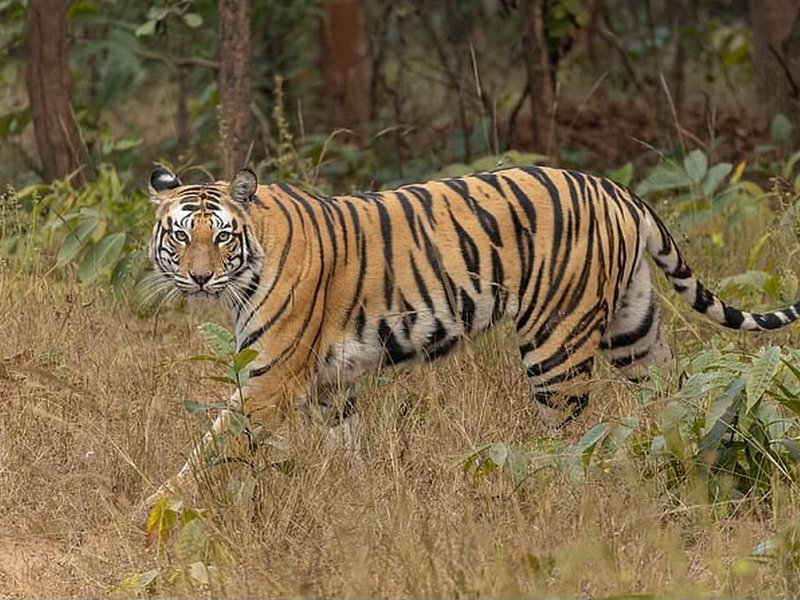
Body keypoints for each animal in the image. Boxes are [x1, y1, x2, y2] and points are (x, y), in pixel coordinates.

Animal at [146, 164, 800, 502]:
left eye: (221, 236)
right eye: (180, 234)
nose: (199, 277)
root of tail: (615, 187)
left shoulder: (268, 378)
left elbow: (209, 451)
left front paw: (154, 512)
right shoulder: (332, 386)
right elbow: (346, 449)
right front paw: (360, 498)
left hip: (556, 345)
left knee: (572, 438)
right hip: (633, 331)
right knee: (673, 399)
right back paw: (681, 464)